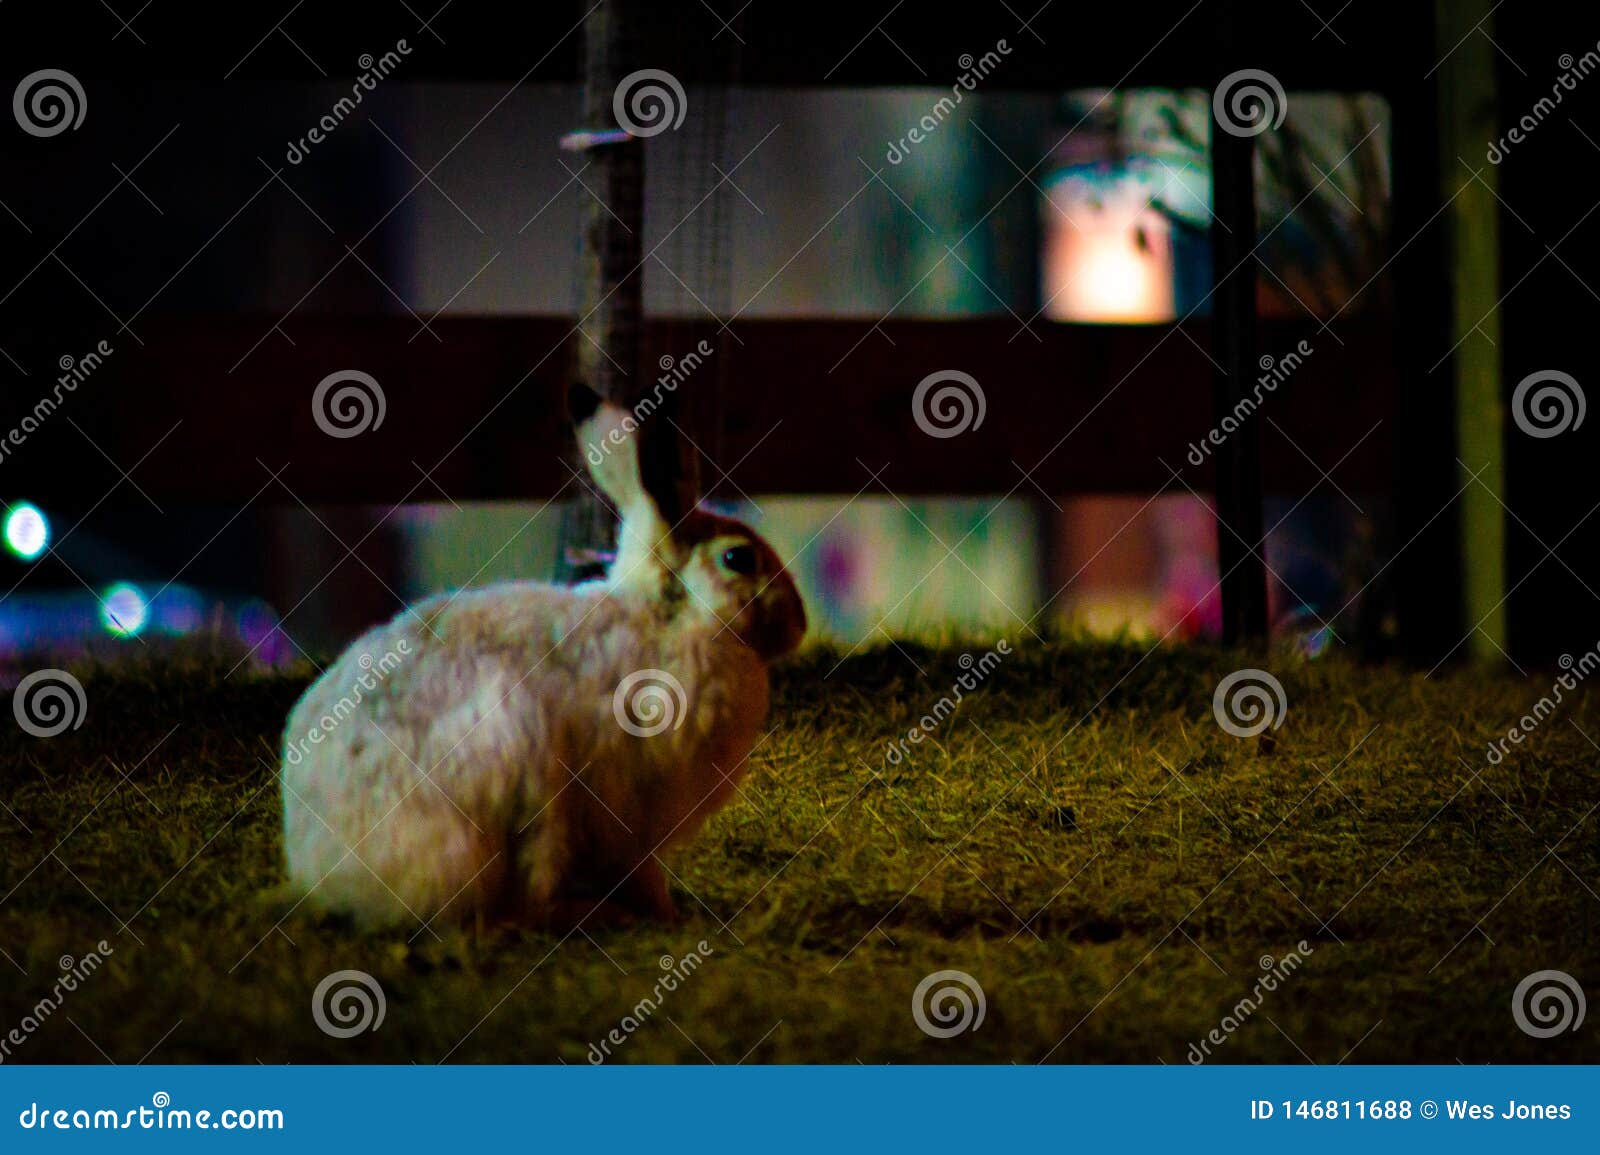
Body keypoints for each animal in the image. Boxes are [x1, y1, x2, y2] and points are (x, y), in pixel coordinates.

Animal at [279, 384, 806, 929]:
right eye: (738, 558)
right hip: (520, 779)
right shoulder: (633, 814)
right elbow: (643, 875)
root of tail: (326, 873)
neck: (668, 619)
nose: (800, 626)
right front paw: (670, 916)